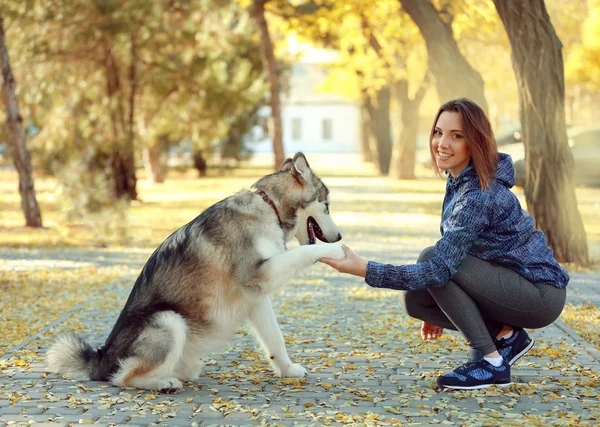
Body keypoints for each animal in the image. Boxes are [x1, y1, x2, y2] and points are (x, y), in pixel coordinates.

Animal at [45, 153, 346, 392]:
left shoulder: (257, 297)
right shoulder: (260, 274)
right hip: (168, 320)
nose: (340, 235)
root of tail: (102, 357)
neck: (268, 207)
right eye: (327, 205)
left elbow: (275, 339)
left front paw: (286, 369)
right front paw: (337, 251)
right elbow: (302, 253)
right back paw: (162, 383)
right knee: (123, 377)